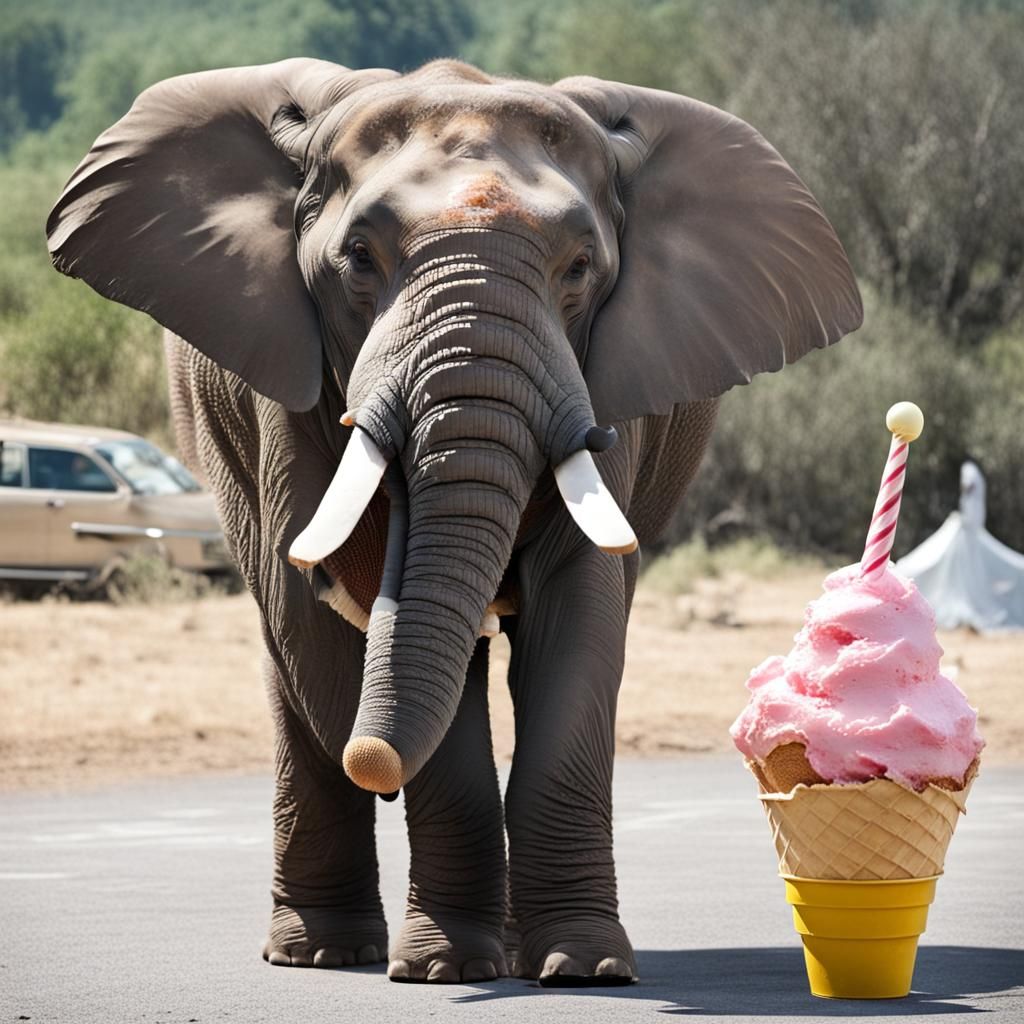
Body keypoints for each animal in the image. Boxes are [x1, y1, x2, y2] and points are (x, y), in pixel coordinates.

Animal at [47, 57, 862, 985]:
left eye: (581, 267)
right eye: (359, 258)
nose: (373, 760)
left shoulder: (606, 386)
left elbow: (579, 615)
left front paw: (583, 968)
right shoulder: (279, 400)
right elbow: (319, 623)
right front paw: (445, 969)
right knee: (298, 658)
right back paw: (322, 951)